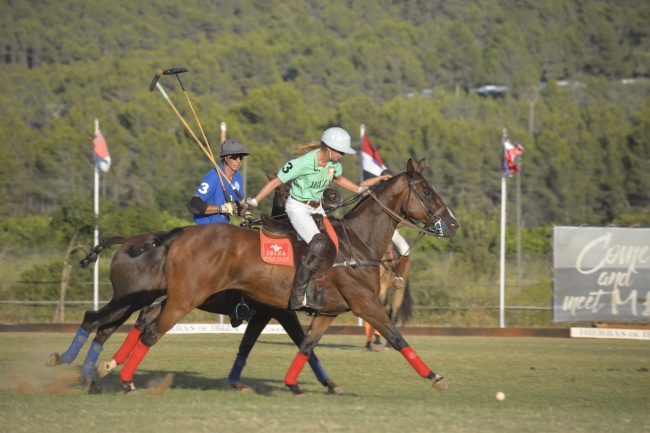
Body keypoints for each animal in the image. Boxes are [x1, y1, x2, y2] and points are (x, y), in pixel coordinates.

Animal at [117, 159, 460, 394]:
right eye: (426, 190)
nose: (453, 224)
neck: (358, 243)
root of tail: (181, 235)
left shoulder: (325, 311)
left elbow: (306, 346)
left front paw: (295, 383)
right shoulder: (364, 303)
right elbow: (397, 337)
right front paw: (436, 377)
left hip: (183, 295)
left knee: (146, 318)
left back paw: (115, 367)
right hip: (186, 298)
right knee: (150, 331)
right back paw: (125, 379)